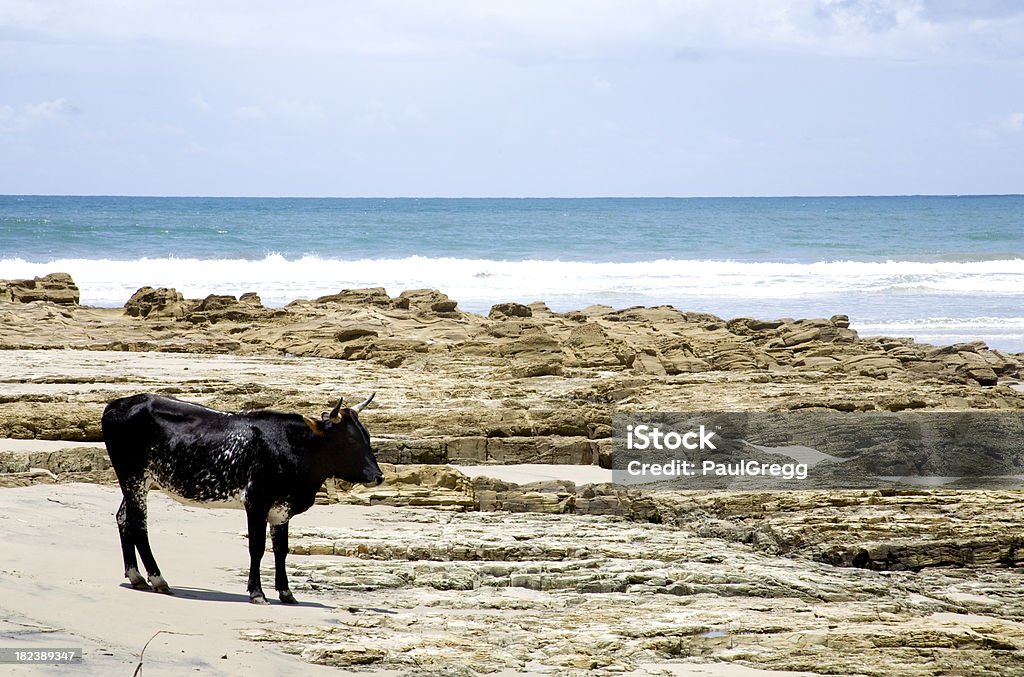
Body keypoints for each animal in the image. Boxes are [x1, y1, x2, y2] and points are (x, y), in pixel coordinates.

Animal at [101, 391, 382, 602]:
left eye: (367, 437)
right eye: (350, 441)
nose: (378, 476)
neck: (290, 446)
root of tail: (117, 404)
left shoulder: (281, 509)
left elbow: (281, 550)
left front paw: (286, 592)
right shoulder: (256, 502)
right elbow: (256, 547)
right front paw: (257, 592)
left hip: (138, 482)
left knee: (124, 518)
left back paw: (136, 576)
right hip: (133, 477)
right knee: (138, 524)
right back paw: (158, 578)